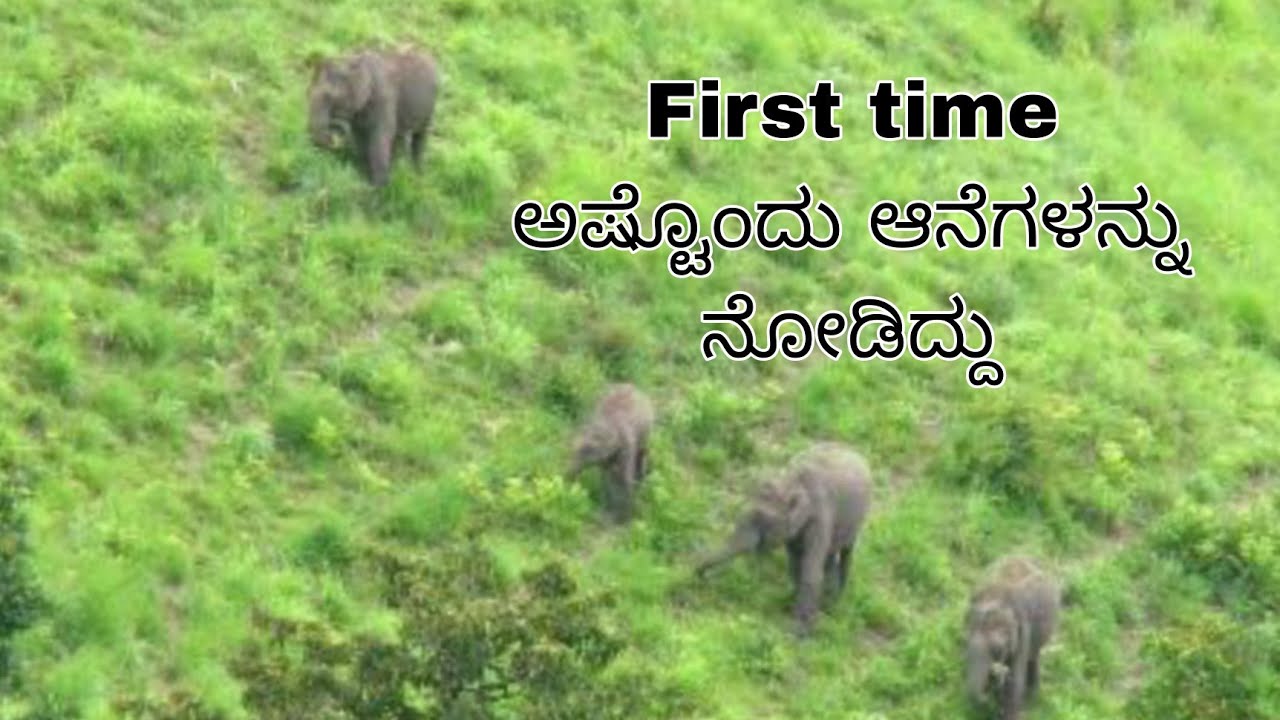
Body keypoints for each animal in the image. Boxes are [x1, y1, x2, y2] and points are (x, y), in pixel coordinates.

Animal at [694, 442, 873, 636]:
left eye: (762, 520)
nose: (700, 575)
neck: (790, 481)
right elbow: (795, 565)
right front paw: (791, 605)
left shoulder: (821, 518)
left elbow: (810, 569)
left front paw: (798, 632)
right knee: (830, 557)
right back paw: (826, 603)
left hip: (858, 520)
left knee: (846, 553)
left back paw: (833, 605)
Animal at [965, 555, 1062, 720]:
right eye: (966, 642)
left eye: (997, 647)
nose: (987, 696)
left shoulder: (1024, 630)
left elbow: (1015, 681)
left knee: (1034, 656)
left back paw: (1033, 695)